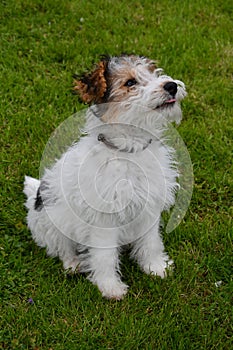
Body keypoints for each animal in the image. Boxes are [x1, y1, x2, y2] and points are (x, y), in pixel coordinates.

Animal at [23, 54, 187, 298]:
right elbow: (104, 256)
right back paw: (73, 264)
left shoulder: (149, 208)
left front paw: (156, 267)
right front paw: (110, 287)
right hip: (52, 222)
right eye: (130, 82)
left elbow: (151, 243)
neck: (128, 151)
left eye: (153, 71)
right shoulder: (104, 219)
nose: (171, 86)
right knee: (61, 248)